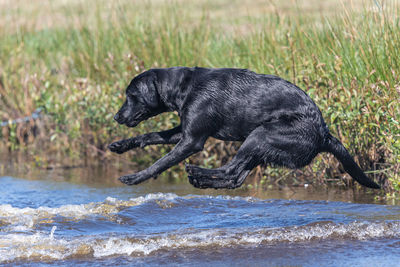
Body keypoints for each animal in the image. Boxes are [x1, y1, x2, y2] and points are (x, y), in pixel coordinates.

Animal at [108, 67, 380, 189]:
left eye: (131, 95)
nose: (116, 116)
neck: (184, 87)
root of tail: (324, 133)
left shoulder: (192, 140)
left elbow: (160, 163)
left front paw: (135, 177)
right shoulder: (183, 132)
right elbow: (150, 135)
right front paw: (121, 145)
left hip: (261, 135)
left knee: (231, 171)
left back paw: (197, 173)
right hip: (260, 145)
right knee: (236, 177)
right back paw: (202, 180)